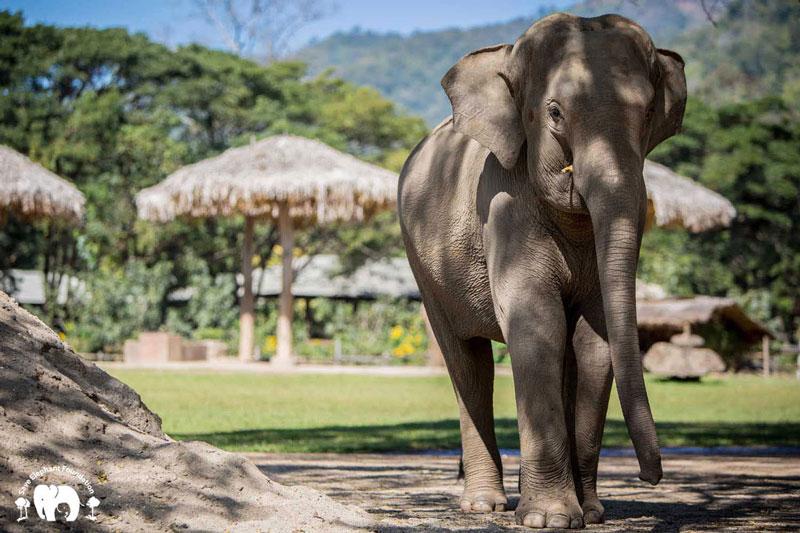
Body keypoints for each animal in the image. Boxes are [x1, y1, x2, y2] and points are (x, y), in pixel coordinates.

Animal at [396, 12, 684, 528]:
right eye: (554, 112)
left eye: (649, 111)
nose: (652, 475)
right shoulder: (504, 204)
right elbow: (538, 324)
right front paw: (549, 519)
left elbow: (594, 340)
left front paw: (590, 515)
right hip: (424, 268)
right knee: (467, 362)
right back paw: (484, 505)